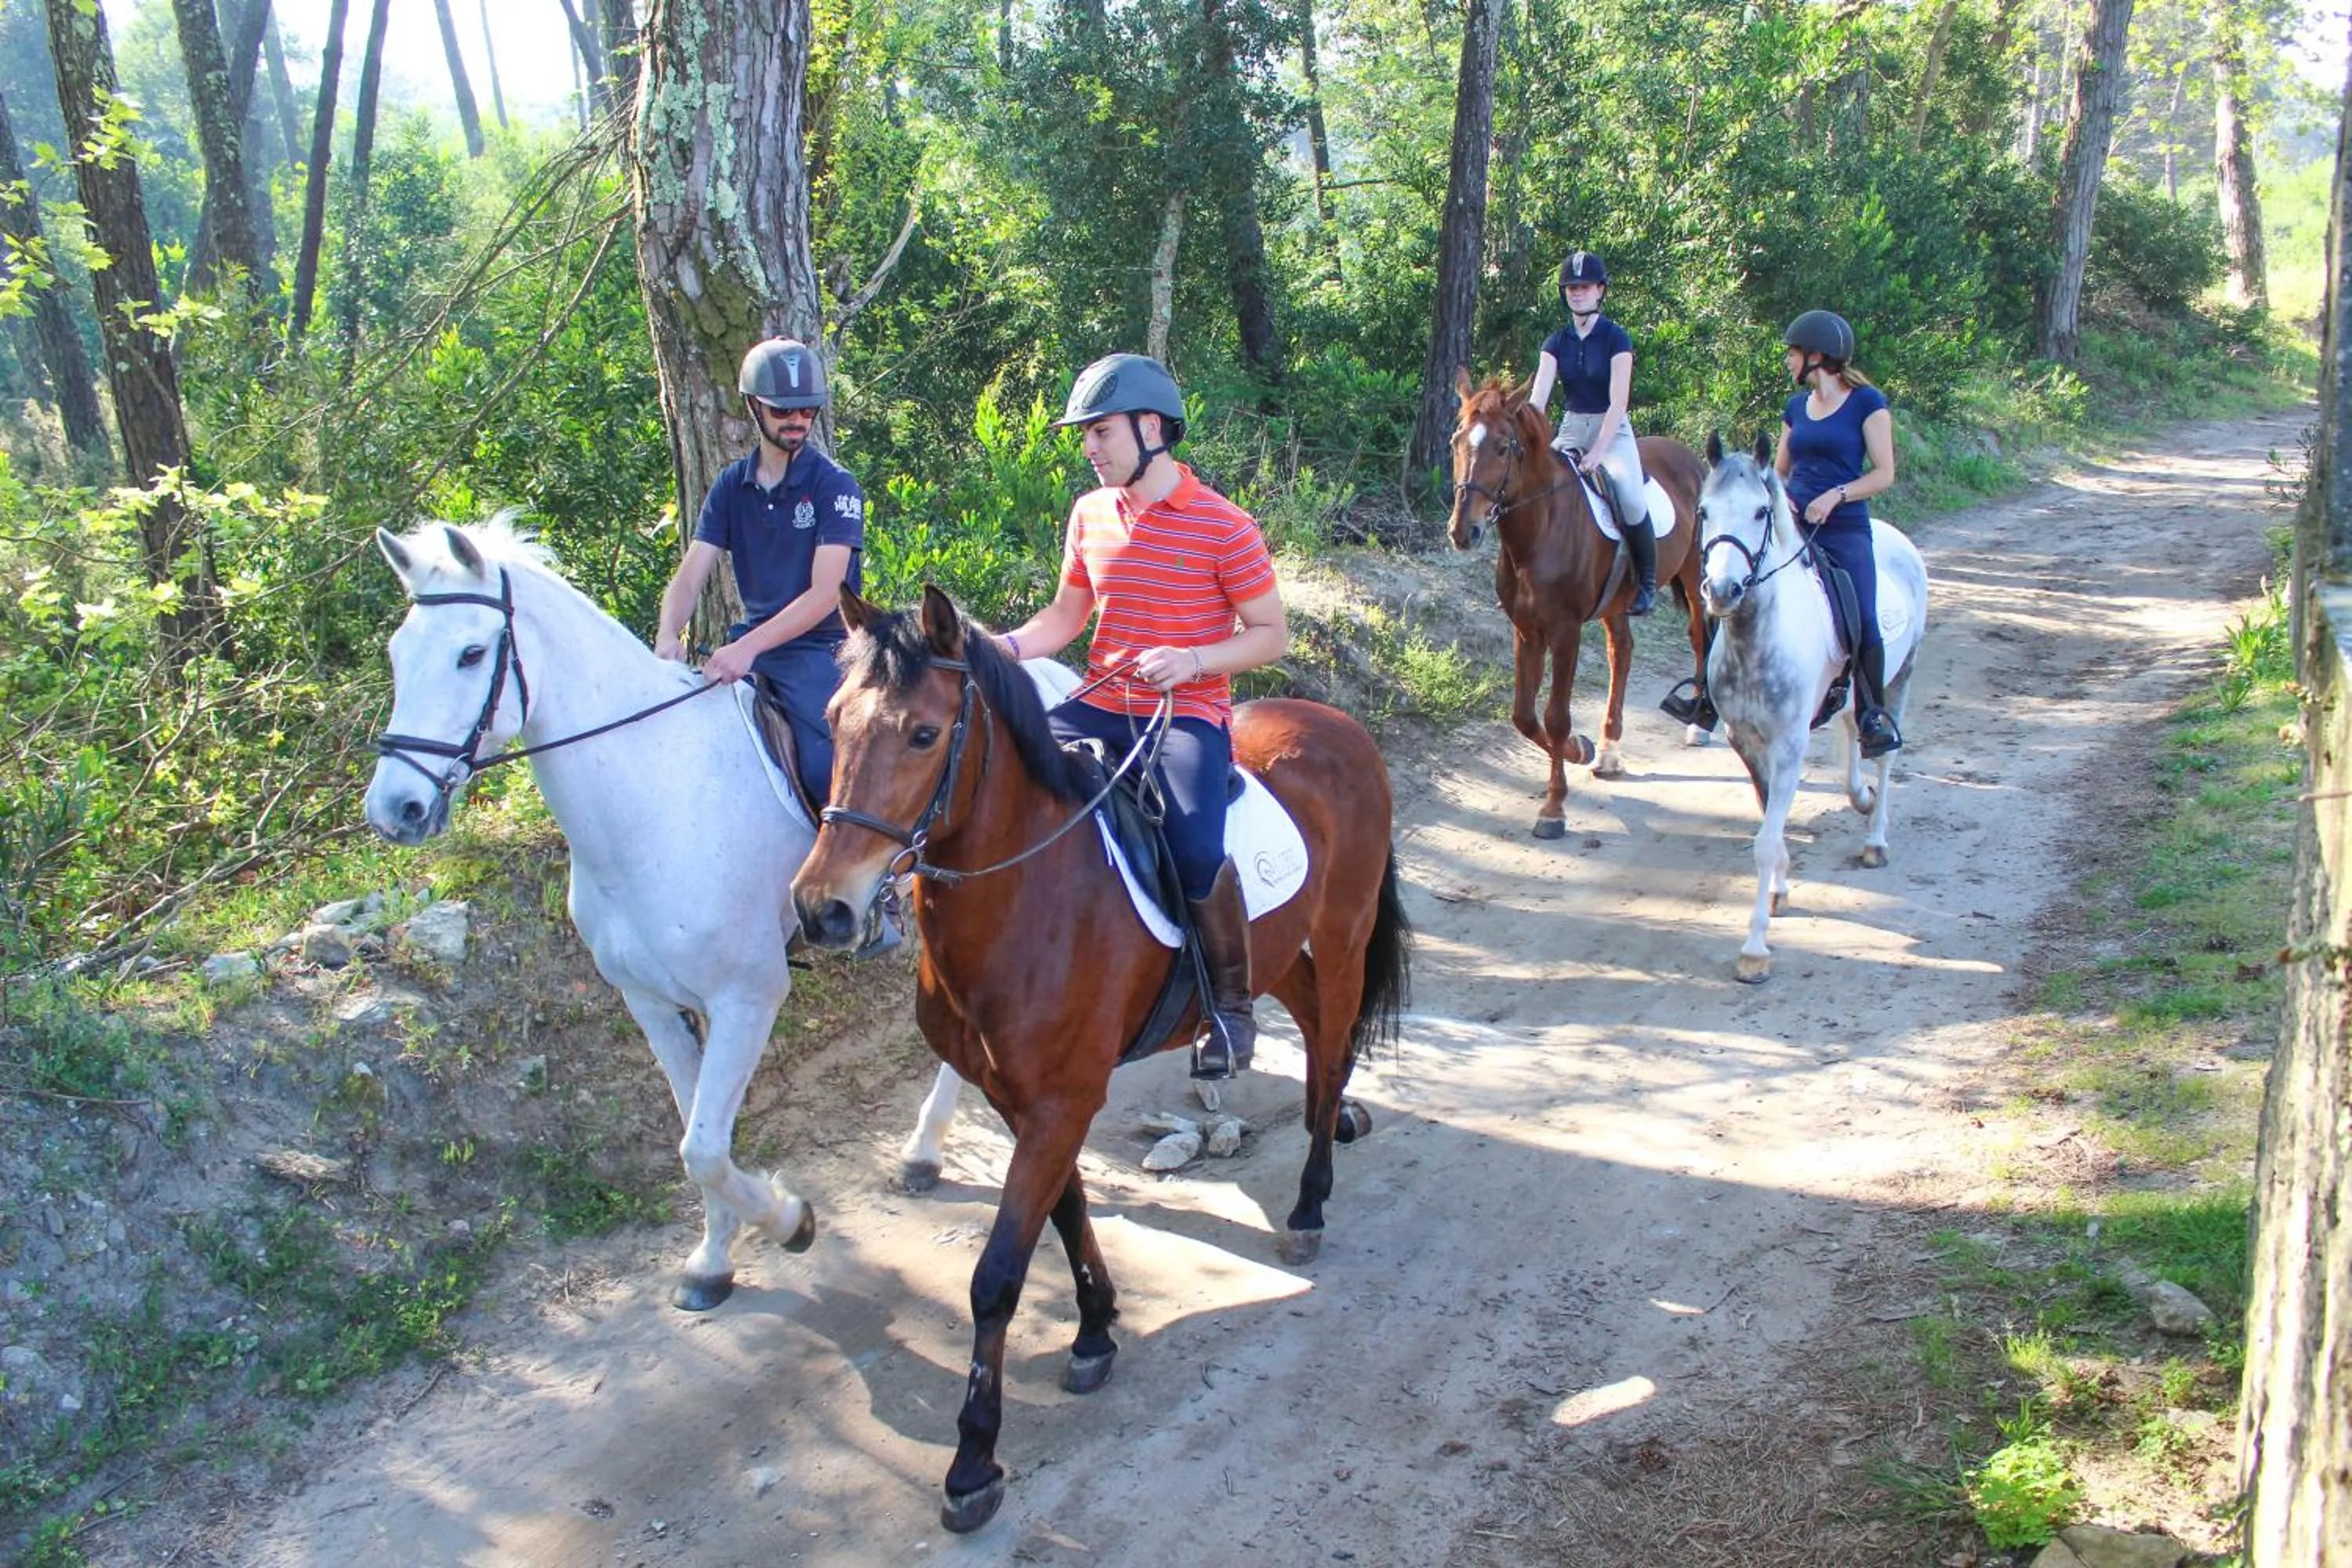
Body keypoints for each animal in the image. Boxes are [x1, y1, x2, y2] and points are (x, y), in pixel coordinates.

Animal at [364, 518, 822, 1314]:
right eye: (398, 653)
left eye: (471, 653)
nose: (396, 809)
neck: (651, 793)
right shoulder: (651, 1002)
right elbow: (698, 1137)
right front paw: (712, 1260)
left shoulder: (749, 995)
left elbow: (703, 1148)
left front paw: (789, 1219)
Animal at [790, 586, 1412, 1533]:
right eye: (832, 720)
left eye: (924, 733)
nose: (822, 909)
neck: (1029, 894)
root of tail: (1336, 721)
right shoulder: (1023, 1097)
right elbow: (1068, 1211)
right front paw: (1094, 1328)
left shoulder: (1060, 1101)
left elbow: (997, 1275)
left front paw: (973, 1462)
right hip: (1281, 952)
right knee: (1313, 1036)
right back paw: (1315, 1115)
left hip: (1341, 936)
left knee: (1336, 1045)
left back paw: (1310, 1201)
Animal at [1446, 369, 1710, 838]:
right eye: (1456, 442)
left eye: (1502, 447)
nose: (1464, 531)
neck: (1539, 531)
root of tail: (1689, 457)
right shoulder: (1526, 630)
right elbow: (1524, 716)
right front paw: (1580, 750)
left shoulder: (1565, 632)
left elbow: (1555, 716)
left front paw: (1554, 808)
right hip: (1618, 604)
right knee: (1622, 652)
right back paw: (1607, 753)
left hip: (1695, 576)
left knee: (1700, 637)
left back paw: (1697, 724)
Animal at [1694, 433, 1930, 982]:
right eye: (1703, 511)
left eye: (1761, 511)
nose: (1722, 591)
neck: (1757, 641)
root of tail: (1894, 537)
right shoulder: (1746, 741)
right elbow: (1769, 822)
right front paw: (1779, 890)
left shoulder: (1788, 745)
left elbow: (1765, 840)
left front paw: (1754, 951)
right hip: (1852, 694)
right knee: (1852, 731)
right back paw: (1859, 796)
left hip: (1901, 675)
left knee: (1885, 755)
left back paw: (1875, 838)